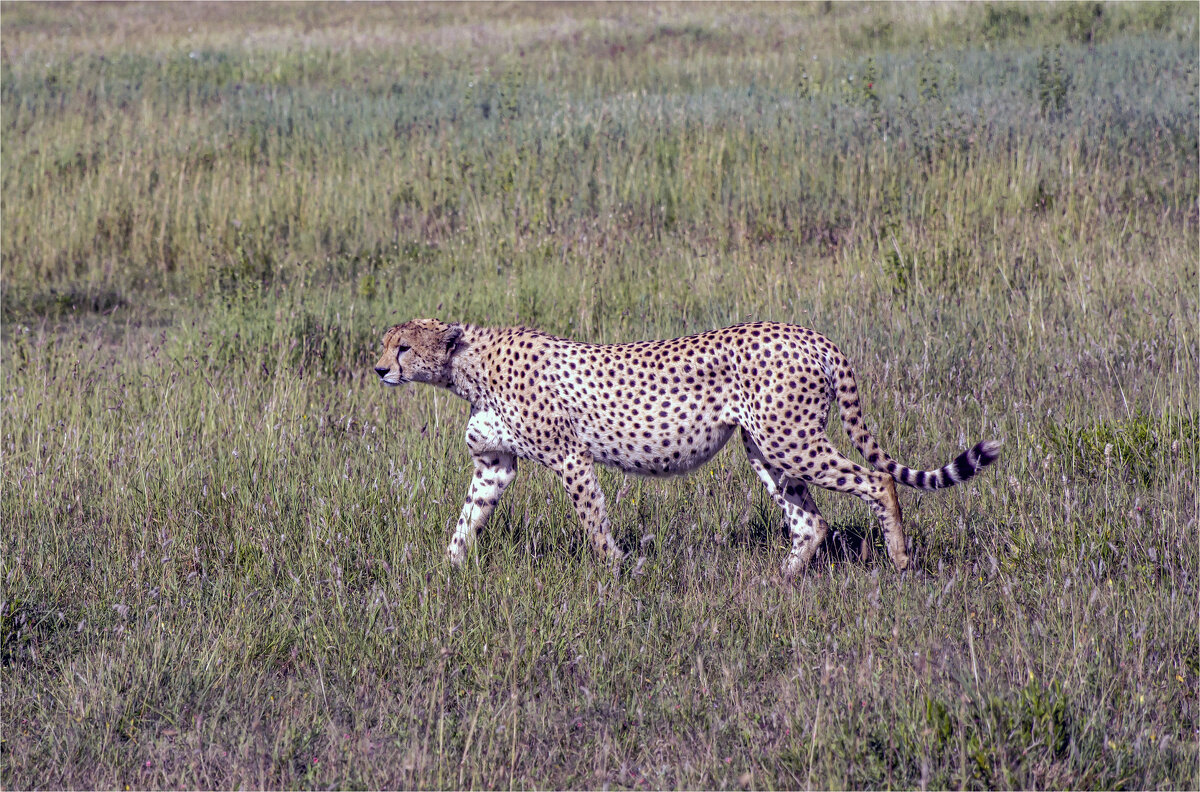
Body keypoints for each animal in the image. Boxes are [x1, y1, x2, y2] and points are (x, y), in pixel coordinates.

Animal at [369, 319, 998, 576]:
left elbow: (593, 523)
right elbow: (466, 520)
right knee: (811, 521)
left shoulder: (571, 458)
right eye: (386, 344)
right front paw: (447, 572)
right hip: (765, 448)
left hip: (791, 439)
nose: (378, 369)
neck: (465, 367)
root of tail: (808, 333)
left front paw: (620, 572)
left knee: (877, 479)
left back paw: (899, 558)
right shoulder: (494, 464)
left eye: (403, 347)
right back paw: (780, 581)